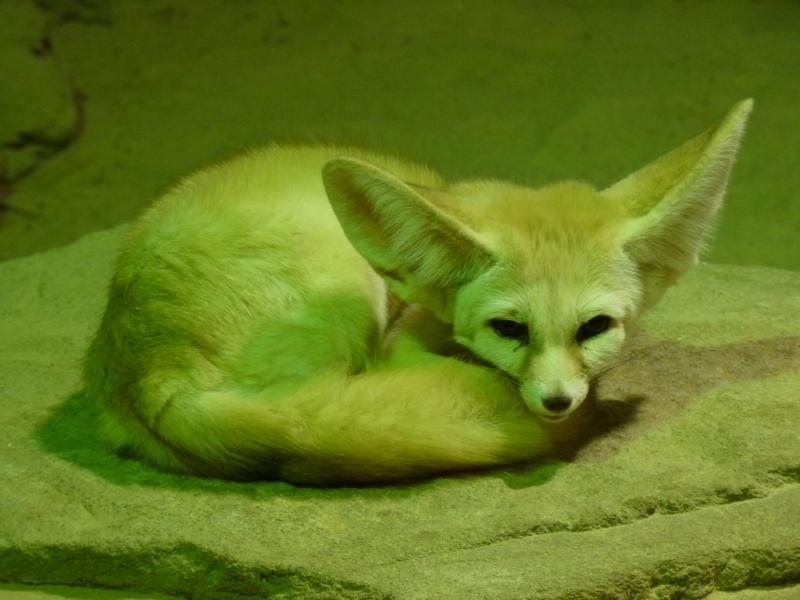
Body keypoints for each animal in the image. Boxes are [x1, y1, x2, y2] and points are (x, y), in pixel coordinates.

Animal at [83, 100, 752, 485]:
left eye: (594, 329)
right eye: (509, 329)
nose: (558, 402)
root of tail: (152, 379)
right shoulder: (398, 342)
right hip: (348, 291)